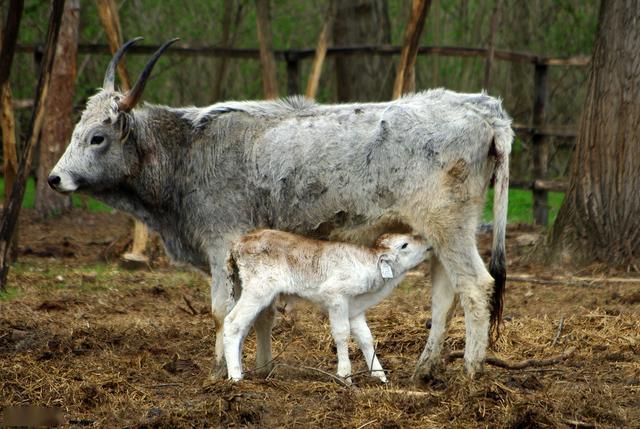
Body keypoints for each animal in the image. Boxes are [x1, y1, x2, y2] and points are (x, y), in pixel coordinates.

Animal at [222, 229, 432, 382]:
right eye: (404, 244)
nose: (428, 242)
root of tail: (239, 242)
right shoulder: (336, 297)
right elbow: (342, 333)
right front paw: (345, 376)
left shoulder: (355, 308)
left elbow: (365, 337)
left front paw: (379, 376)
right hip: (258, 290)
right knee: (232, 323)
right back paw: (235, 377)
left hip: (243, 288)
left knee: (243, 328)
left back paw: (238, 370)